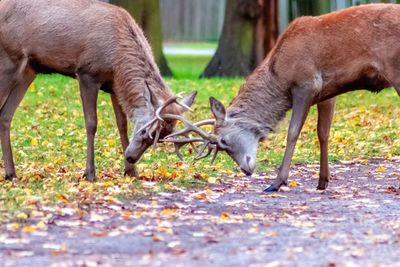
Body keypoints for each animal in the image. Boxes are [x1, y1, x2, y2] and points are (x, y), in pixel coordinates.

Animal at [0, 0, 195, 182]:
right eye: (144, 131)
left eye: (162, 138)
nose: (131, 157)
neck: (117, 63)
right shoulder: (87, 73)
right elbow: (91, 123)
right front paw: (90, 173)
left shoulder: (115, 86)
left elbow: (121, 124)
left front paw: (131, 172)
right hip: (9, 61)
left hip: (29, 70)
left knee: (5, 114)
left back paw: (11, 173)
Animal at [149, 4, 400, 193]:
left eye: (223, 141)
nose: (246, 170)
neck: (279, 77)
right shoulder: (327, 93)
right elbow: (323, 133)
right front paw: (322, 181)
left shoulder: (306, 84)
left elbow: (292, 132)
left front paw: (277, 182)